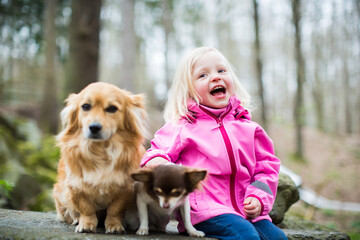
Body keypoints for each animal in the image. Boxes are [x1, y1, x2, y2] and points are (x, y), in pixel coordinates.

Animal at [52, 82, 148, 232]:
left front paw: (114, 225)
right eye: (86, 106)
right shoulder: (76, 187)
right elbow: (86, 208)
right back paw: (76, 220)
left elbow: (115, 209)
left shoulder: (126, 188)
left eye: (112, 109)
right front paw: (86, 224)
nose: (94, 127)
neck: (100, 151)